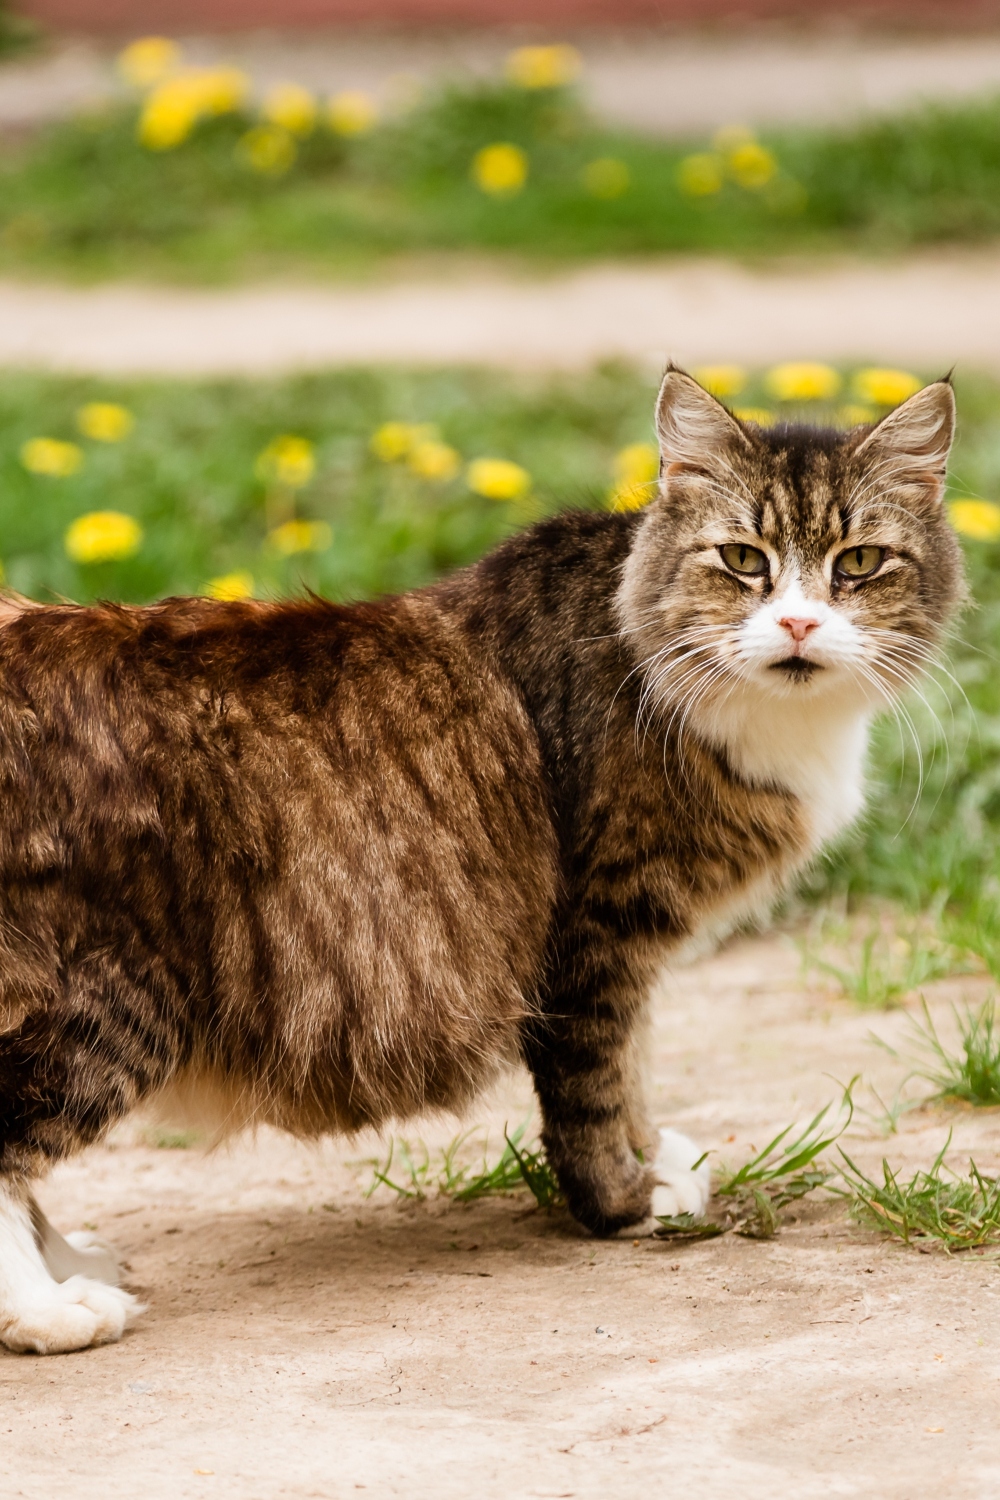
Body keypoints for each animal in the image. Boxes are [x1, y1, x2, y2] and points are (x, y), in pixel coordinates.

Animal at [0, 369, 959, 1356]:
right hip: (111, 995)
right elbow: (595, 1088)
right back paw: (48, 1307)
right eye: (741, 559)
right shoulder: (598, 934)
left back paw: (72, 1262)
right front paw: (628, 1200)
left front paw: (653, 1158)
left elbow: (636, 1071)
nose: (800, 621)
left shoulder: (631, 953)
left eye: (858, 563)